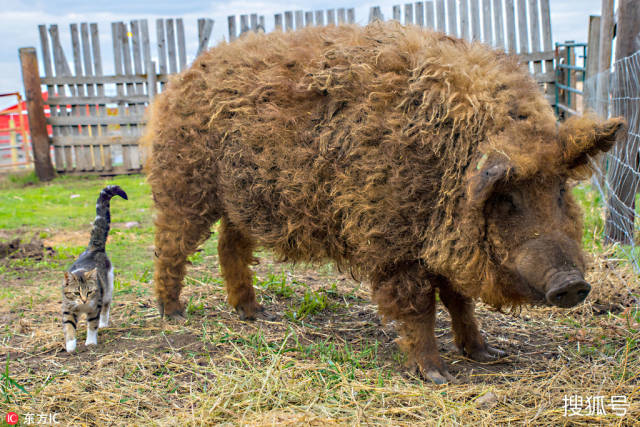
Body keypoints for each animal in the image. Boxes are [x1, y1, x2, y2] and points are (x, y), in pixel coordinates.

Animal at [62, 186, 127, 352]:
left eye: (90, 292)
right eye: (76, 293)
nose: (84, 300)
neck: (82, 308)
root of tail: (94, 248)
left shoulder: (94, 307)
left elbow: (92, 325)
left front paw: (90, 342)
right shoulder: (68, 309)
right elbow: (69, 327)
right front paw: (70, 346)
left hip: (108, 289)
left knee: (106, 306)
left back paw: (103, 323)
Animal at [145, 22, 624, 384]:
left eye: (559, 190)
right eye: (506, 199)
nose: (571, 284)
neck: (448, 166)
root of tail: (178, 82)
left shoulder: (439, 244)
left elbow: (459, 301)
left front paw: (486, 355)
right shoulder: (392, 241)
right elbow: (418, 306)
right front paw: (437, 377)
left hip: (241, 202)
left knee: (230, 246)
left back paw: (253, 313)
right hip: (183, 186)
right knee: (171, 246)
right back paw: (174, 314)